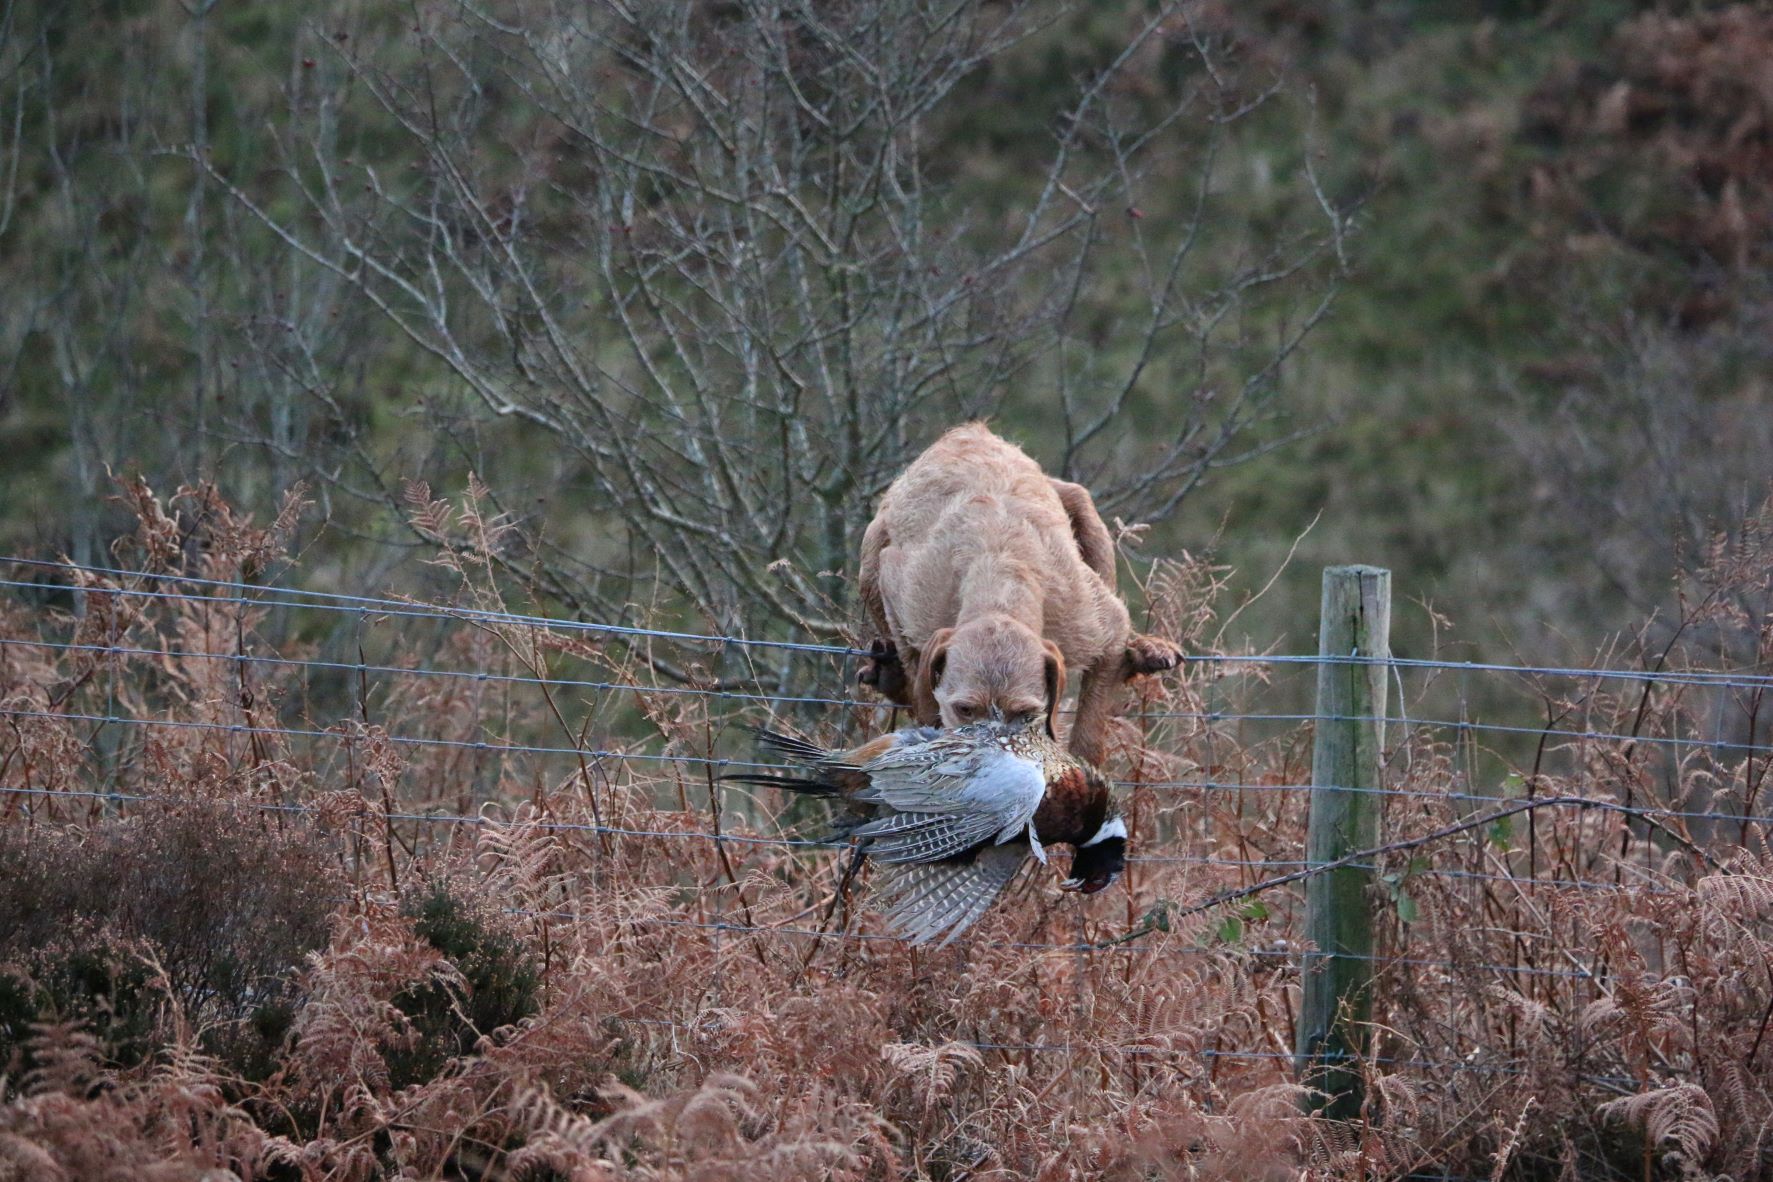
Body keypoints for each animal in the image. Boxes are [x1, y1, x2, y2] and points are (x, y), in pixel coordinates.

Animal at [854, 425, 1177, 769]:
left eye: (1024, 713)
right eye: (965, 709)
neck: (1002, 588)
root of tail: (969, 430)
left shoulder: (1099, 629)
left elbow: (1091, 724)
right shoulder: (898, 588)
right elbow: (921, 689)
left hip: (1082, 508)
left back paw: (1148, 648)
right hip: (870, 553)